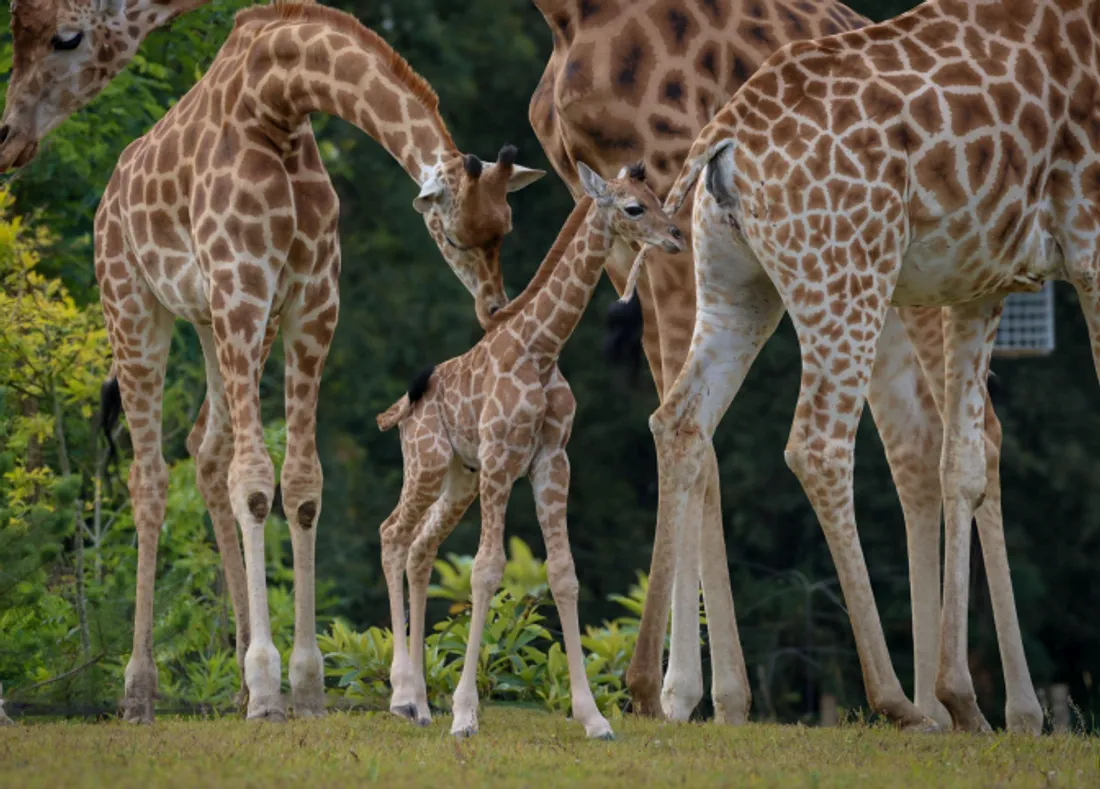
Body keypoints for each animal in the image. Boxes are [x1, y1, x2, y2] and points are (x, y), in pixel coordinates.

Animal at [88, 0, 543, 723]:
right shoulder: (245, 288)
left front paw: (301, 684)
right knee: (150, 475)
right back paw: (140, 690)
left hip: (214, 321)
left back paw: (235, 676)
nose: (494, 308)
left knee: (205, 447)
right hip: (135, 307)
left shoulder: (309, 301)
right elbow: (255, 479)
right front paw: (270, 683)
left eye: (505, 228)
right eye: (452, 234)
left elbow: (302, 485)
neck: (275, 101)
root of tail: (107, 198)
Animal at [375, 162, 684, 738]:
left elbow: (563, 573)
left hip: (460, 478)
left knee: (420, 547)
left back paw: (422, 704)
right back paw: (403, 696)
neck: (542, 349)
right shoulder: (501, 459)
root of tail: (399, 410)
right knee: (392, 535)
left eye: (658, 197)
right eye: (634, 208)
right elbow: (485, 569)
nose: (676, 236)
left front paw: (593, 718)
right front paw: (465, 714)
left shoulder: (552, 461)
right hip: (428, 462)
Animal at [528, 0, 1041, 733]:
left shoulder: (673, 210)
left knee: (972, 436)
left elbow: (696, 444)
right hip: (872, 280)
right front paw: (697, 692)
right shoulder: (636, 239)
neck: (573, 18)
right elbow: (687, 434)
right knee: (919, 442)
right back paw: (937, 705)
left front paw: (690, 690)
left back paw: (1011, 707)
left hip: (918, 273)